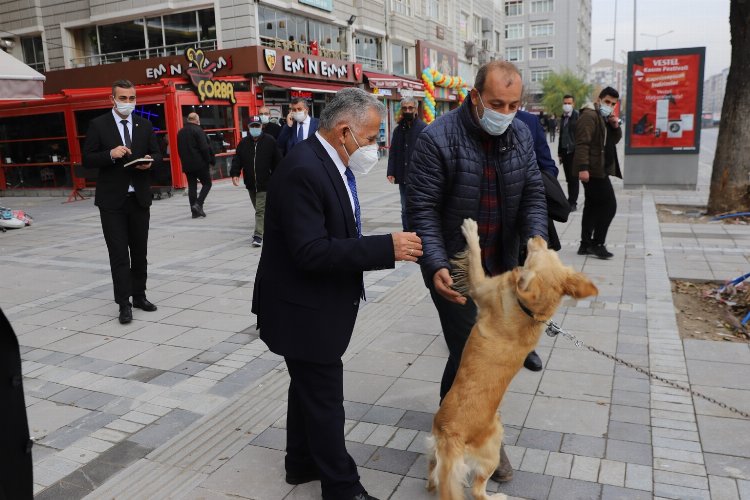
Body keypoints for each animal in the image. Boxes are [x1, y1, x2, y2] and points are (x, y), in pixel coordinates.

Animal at [428, 219, 600, 500]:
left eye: (537, 253)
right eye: (548, 251)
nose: (539, 236)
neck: (527, 310)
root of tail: (454, 435)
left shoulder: (480, 285)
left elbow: (475, 254)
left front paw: (471, 231)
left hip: (491, 448)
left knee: (477, 490)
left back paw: (495, 496)